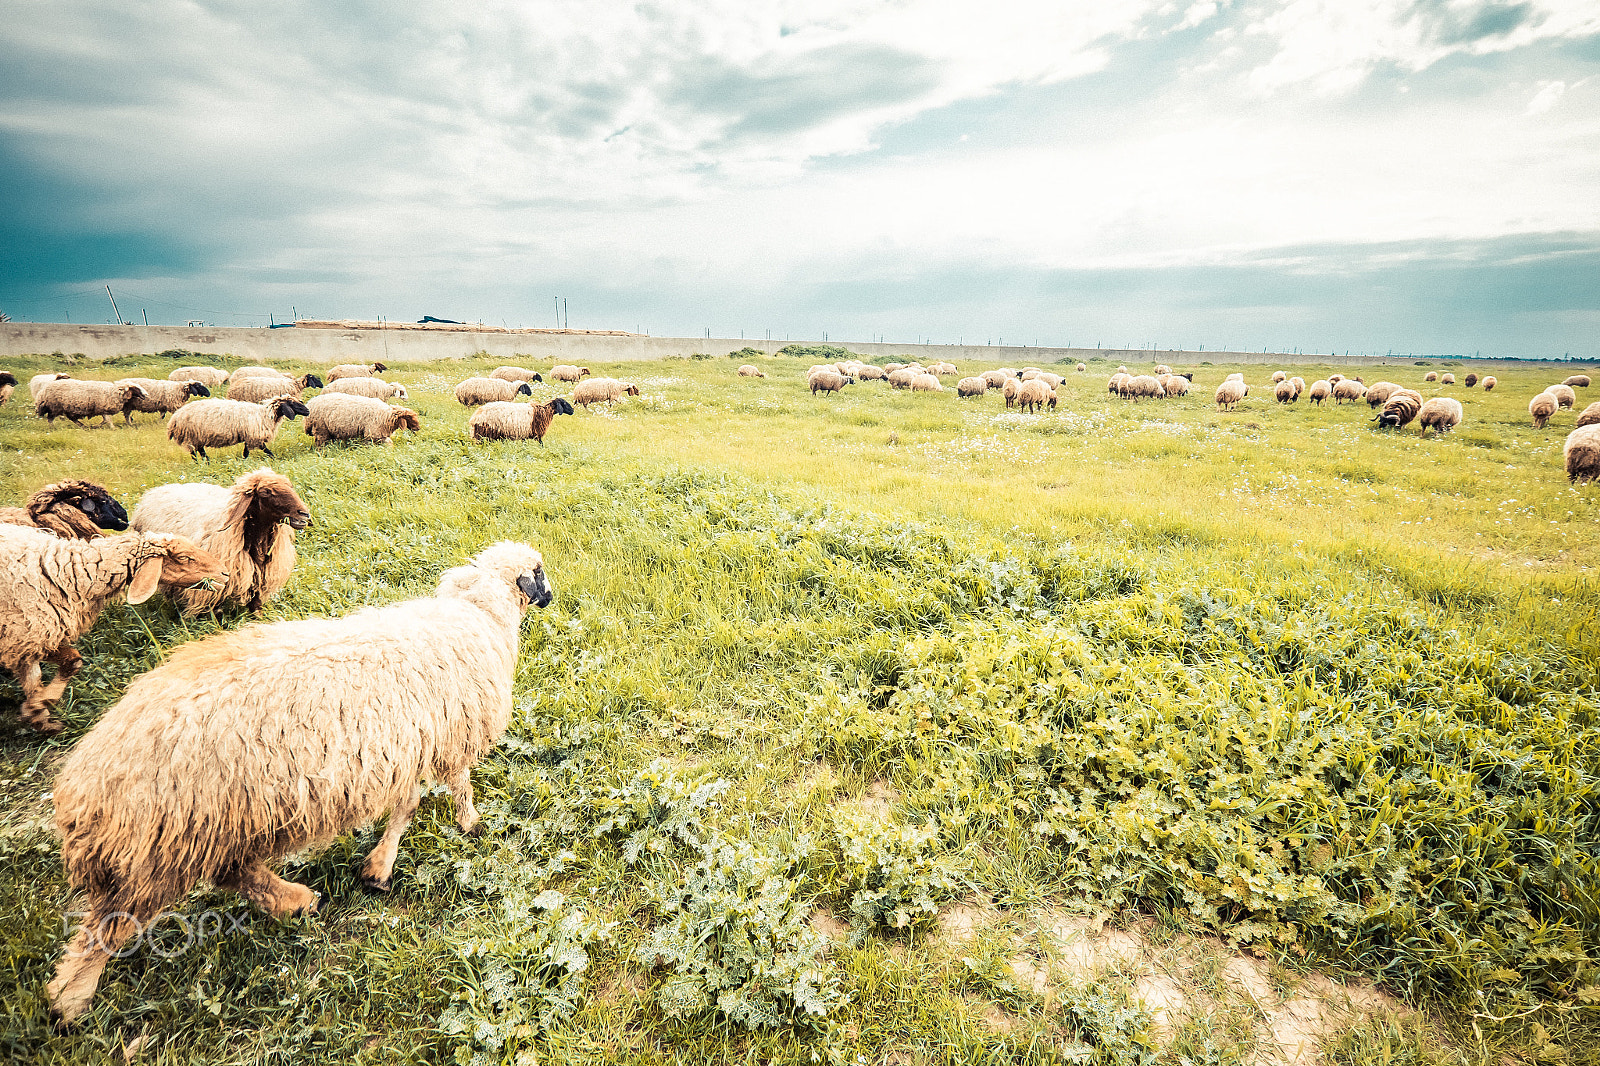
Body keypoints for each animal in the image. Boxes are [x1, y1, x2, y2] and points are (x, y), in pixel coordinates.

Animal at [0, 527, 223, 733]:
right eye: (184, 557)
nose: (225, 572)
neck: (70, 574)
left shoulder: (30, 639)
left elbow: (50, 672)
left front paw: (40, 716)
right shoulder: (24, 635)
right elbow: (68, 662)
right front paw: (38, 707)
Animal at [44, 540, 555, 1024]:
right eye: (541, 571)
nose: (551, 596)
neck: (478, 615)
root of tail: (84, 785)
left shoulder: (412, 746)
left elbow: (406, 806)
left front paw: (378, 867)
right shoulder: (450, 735)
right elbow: (456, 787)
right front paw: (470, 824)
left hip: (207, 830)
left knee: (236, 873)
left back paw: (296, 901)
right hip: (159, 850)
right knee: (106, 931)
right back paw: (69, 1002)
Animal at [130, 468, 310, 614]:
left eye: (290, 486)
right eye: (265, 492)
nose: (305, 514)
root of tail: (156, 490)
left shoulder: (260, 577)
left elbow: (255, 604)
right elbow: (215, 611)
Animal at [167, 395, 311, 460]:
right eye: (291, 403)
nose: (307, 411)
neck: (265, 415)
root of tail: (174, 419)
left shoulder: (248, 437)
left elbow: (246, 452)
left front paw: (244, 462)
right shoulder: (254, 436)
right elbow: (266, 450)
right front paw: (275, 459)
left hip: (196, 437)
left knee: (198, 451)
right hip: (192, 435)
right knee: (195, 453)